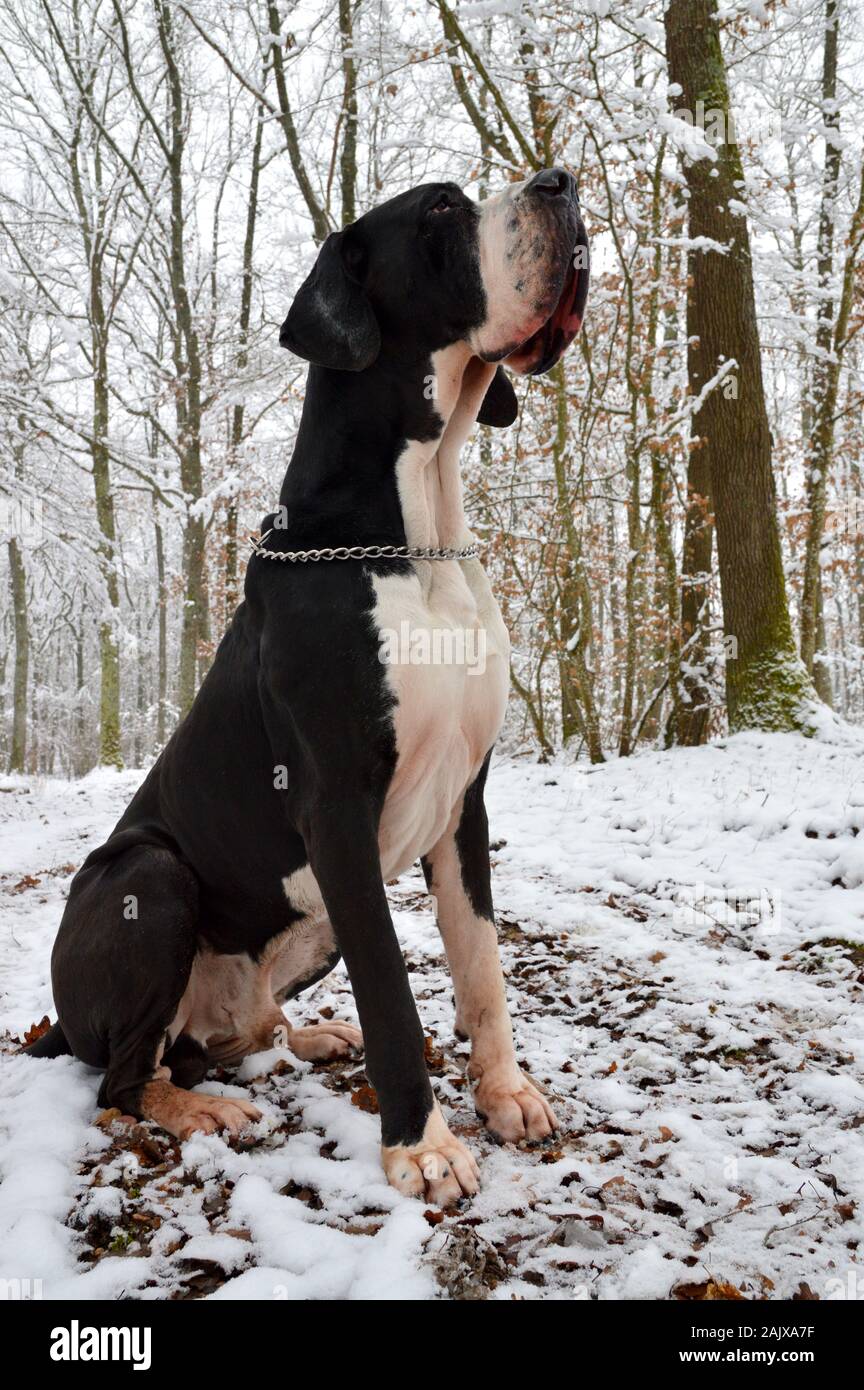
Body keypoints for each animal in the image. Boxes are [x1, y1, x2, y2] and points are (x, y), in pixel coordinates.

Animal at [30, 165, 591, 1206]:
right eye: (441, 210)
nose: (559, 181)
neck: (415, 532)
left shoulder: (466, 801)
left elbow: (482, 964)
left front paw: (505, 1094)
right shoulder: (336, 811)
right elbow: (394, 991)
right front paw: (424, 1146)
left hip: (301, 926)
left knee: (230, 1036)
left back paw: (304, 1035)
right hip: (148, 877)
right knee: (125, 1077)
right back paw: (201, 1108)